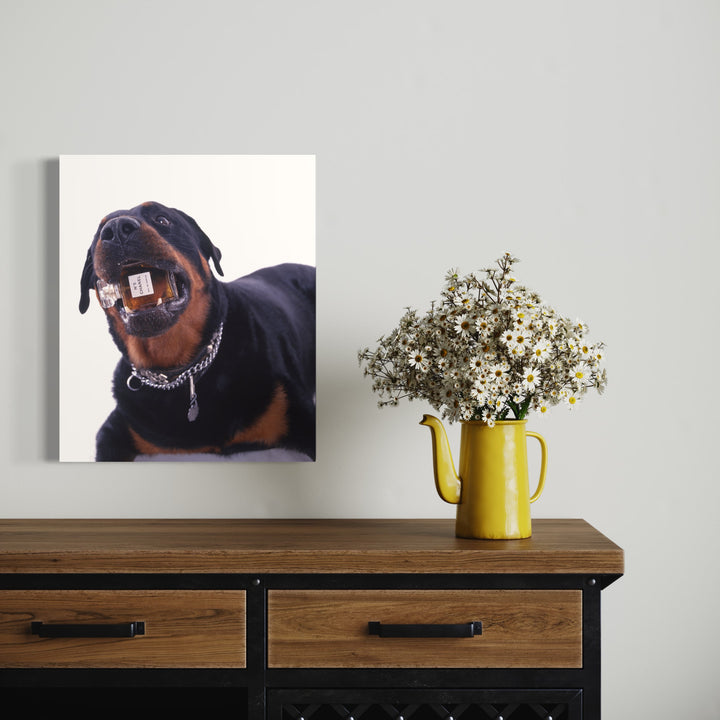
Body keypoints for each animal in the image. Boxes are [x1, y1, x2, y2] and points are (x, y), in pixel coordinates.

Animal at [79, 201, 316, 462]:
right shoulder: (116, 428)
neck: (181, 371)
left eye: (162, 219)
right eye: (98, 235)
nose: (116, 229)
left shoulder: (293, 407)